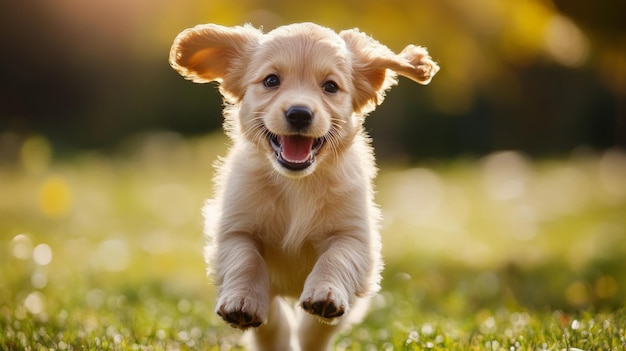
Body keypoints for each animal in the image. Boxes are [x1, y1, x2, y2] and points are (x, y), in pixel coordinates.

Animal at [168, 23, 436, 350]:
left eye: (330, 86)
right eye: (271, 80)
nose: (299, 113)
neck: (296, 183)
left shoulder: (356, 237)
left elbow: (336, 257)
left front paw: (325, 293)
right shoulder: (234, 228)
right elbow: (246, 260)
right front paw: (243, 300)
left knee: (315, 331)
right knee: (274, 323)